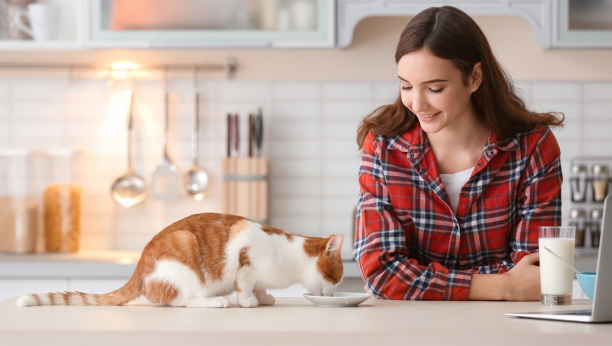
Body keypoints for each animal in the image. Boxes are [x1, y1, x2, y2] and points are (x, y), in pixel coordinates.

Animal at [16, 214, 344, 308]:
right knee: (181, 300)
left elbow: (262, 289)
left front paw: (265, 298)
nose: (335, 292)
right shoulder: (246, 259)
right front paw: (248, 301)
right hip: (185, 253)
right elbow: (245, 286)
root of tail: (139, 269)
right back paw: (216, 302)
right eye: (336, 278)